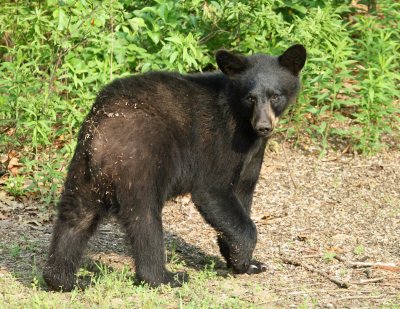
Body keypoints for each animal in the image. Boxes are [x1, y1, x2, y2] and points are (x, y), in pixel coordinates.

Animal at [43, 44, 306, 288]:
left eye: (275, 96)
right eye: (250, 98)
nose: (263, 126)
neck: (243, 123)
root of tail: (101, 132)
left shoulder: (251, 156)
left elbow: (242, 195)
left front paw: (244, 261)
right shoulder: (220, 143)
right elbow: (213, 191)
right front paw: (244, 260)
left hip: (84, 170)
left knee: (75, 216)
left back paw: (64, 279)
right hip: (142, 161)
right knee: (145, 220)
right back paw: (164, 276)